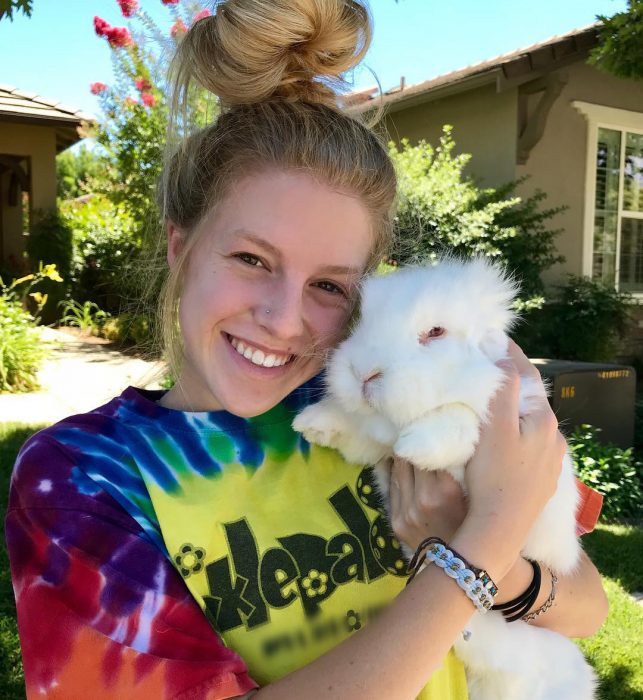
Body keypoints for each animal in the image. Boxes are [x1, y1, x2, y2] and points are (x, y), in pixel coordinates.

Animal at [296, 258, 600, 700]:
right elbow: (359, 430)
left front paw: (414, 445)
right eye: (362, 321)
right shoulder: (372, 440)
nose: (363, 373)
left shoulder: (492, 414)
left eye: (435, 332)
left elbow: (461, 420)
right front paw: (313, 423)